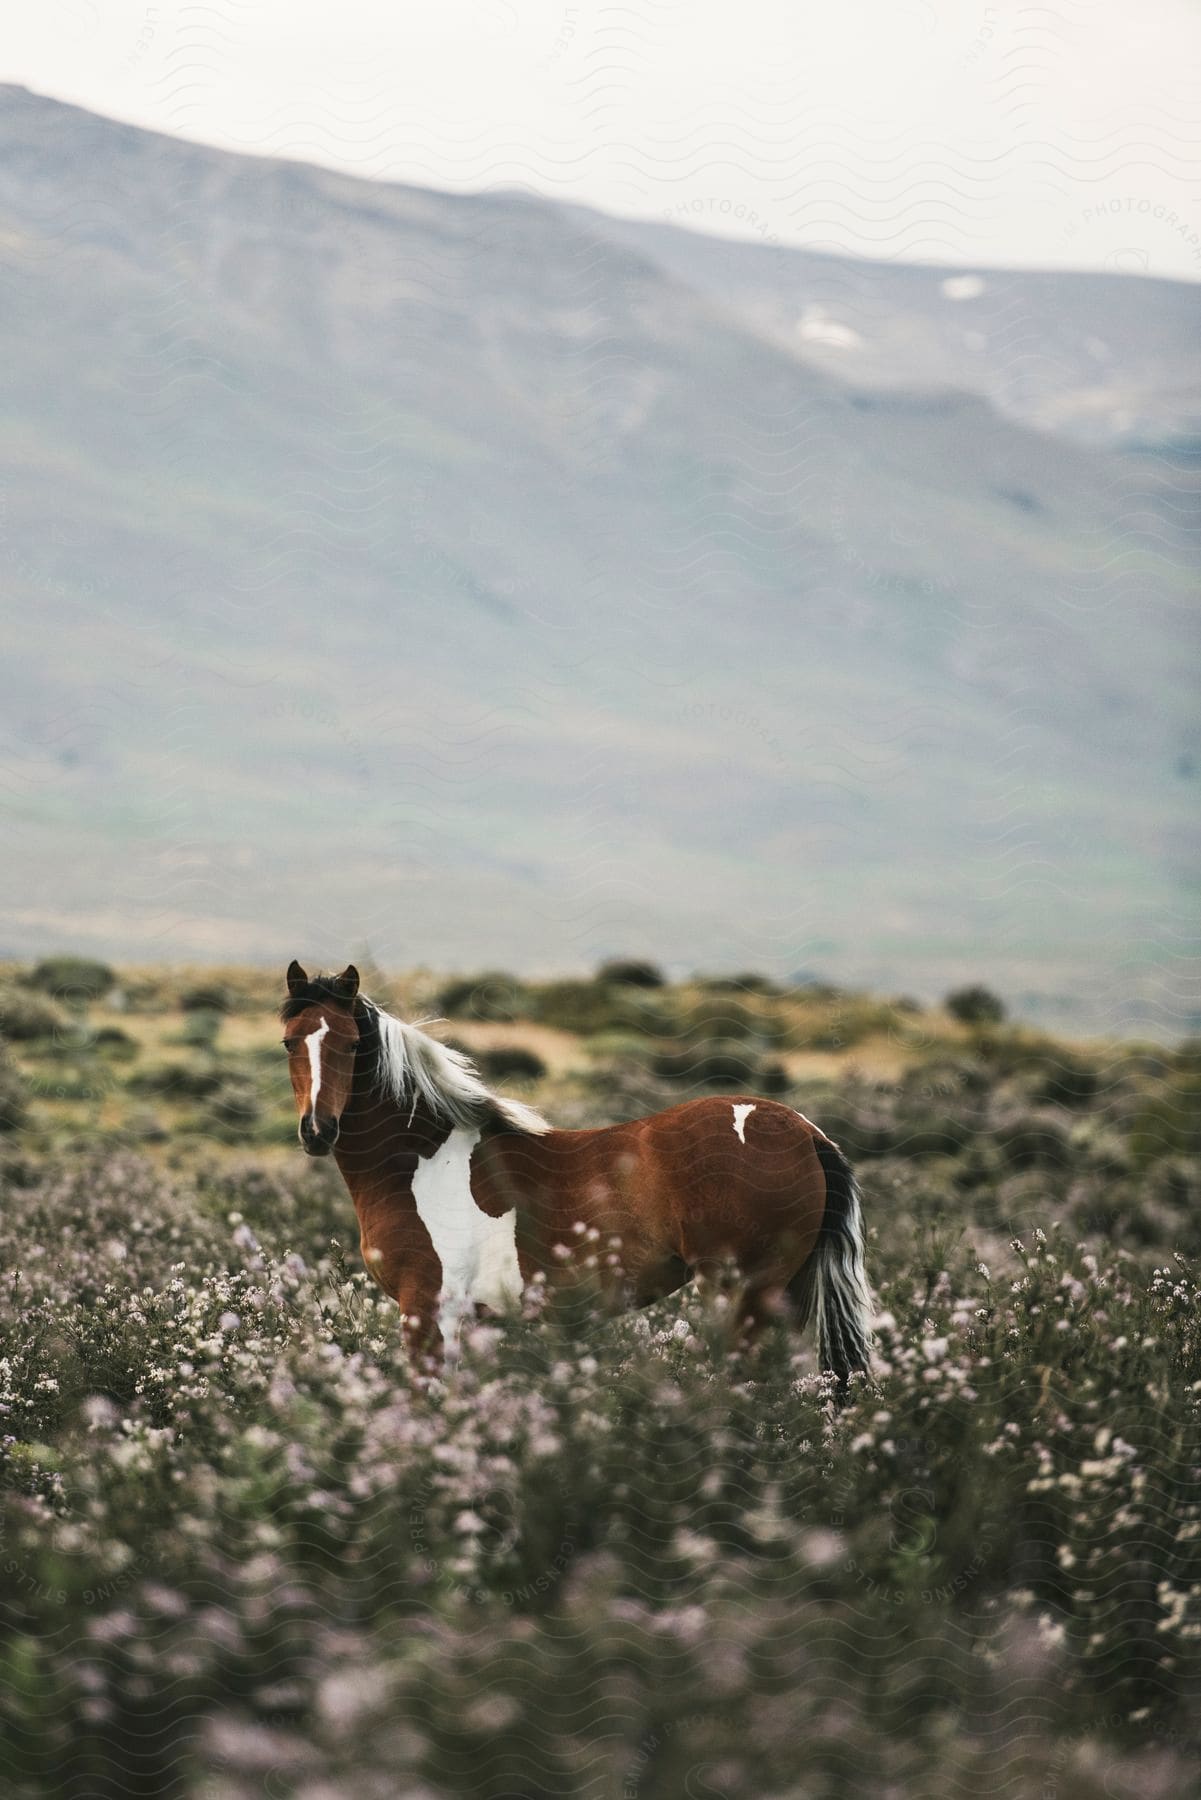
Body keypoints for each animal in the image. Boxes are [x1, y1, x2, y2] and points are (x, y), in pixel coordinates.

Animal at [282, 964, 875, 1382]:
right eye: (290, 1041)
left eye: (352, 1044)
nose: (318, 1130)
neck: (419, 1161)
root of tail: (807, 1132)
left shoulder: (429, 1313)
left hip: (741, 1296)